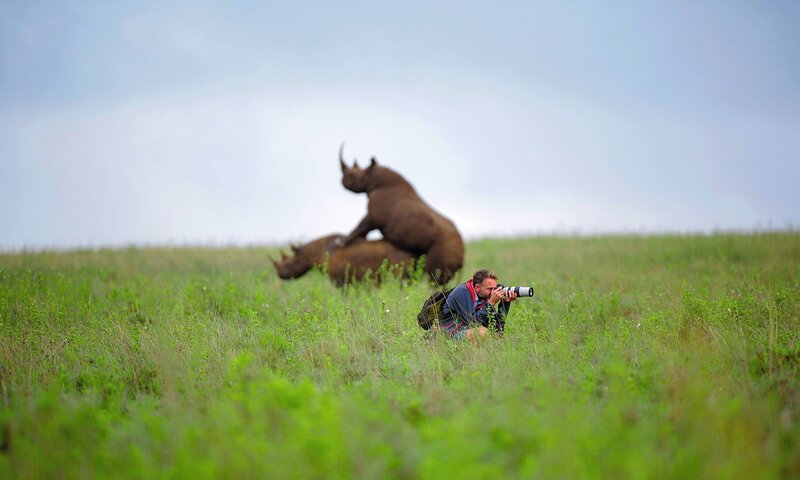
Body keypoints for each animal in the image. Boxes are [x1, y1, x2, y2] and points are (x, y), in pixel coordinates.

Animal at [339, 145, 464, 285]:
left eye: (353, 176)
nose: (342, 182)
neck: (373, 177)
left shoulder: (374, 215)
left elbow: (362, 225)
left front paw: (340, 243)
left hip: (445, 245)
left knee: (434, 275)